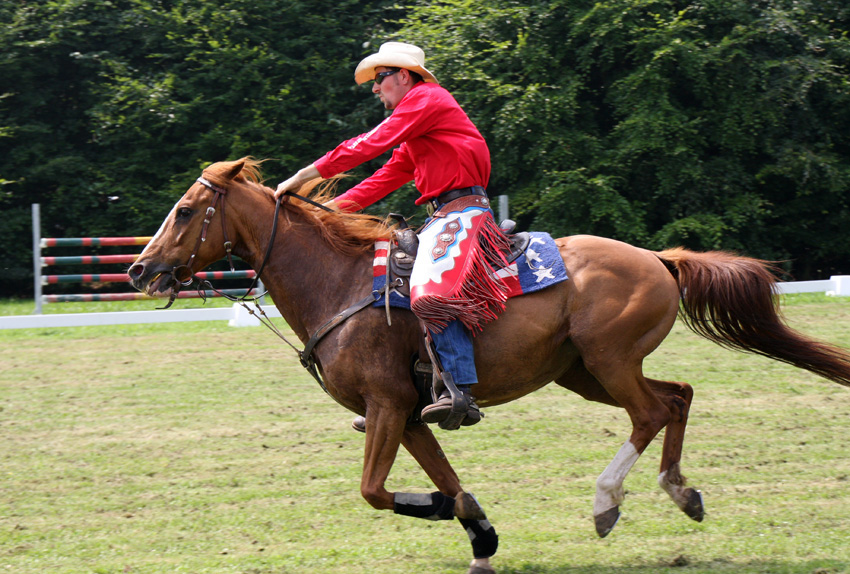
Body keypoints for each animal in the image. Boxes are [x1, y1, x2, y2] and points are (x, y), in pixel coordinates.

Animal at [126, 160, 848, 574]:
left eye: (186, 210)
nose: (138, 268)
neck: (339, 282)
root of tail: (656, 258)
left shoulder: (387, 406)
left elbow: (374, 490)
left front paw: (447, 513)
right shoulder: (408, 416)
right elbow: (436, 480)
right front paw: (477, 532)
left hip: (609, 360)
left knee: (650, 412)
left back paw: (606, 503)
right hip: (584, 372)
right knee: (678, 395)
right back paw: (682, 490)